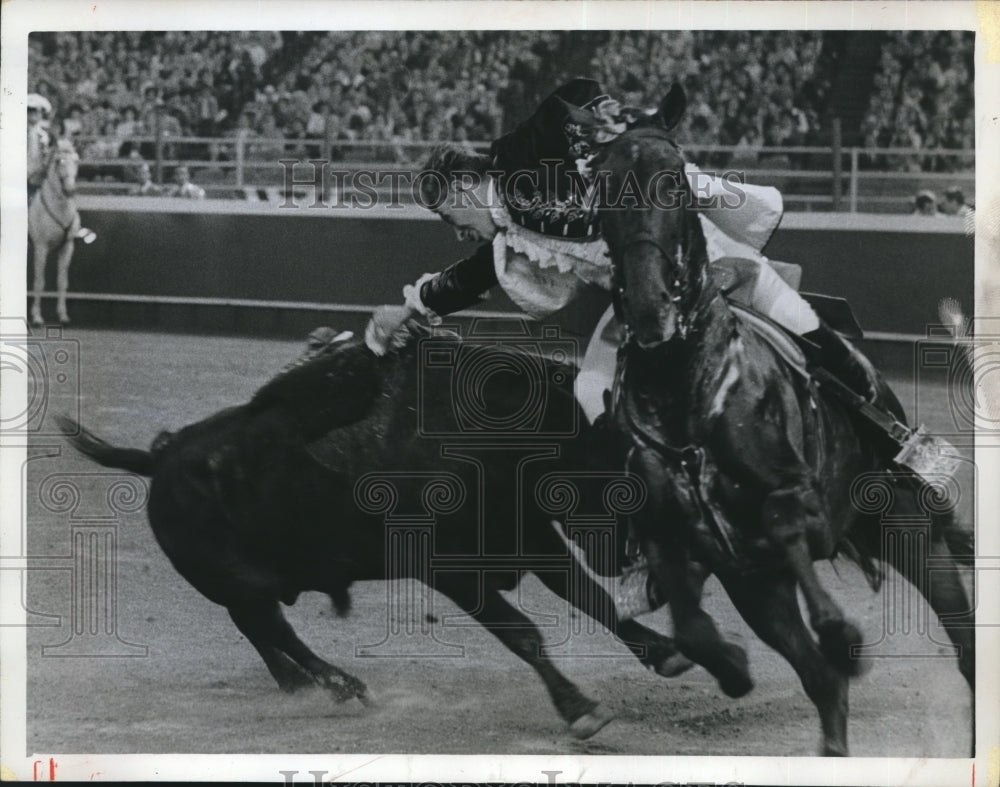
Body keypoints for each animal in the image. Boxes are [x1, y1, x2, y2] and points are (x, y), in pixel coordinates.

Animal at [28, 139, 94, 326]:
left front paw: (63, 315)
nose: (70, 190)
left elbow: (62, 282)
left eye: (77, 160)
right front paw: (37, 317)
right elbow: (39, 282)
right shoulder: (41, 248)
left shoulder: (67, 247)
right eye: (58, 161)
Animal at [58, 324, 692, 740]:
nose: (634, 560)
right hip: (237, 580)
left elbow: (592, 600)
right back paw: (339, 685)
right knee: (267, 625)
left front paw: (666, 653)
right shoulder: (450, 569)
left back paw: (302, 687)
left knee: (260, 629)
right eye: (613, 466)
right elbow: (524, 633)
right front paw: (580, 708)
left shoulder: (533, 541)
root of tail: (159, 457)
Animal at [576, 83, 972, 756]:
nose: (652, 308)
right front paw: (733, 665)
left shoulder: (795, 497)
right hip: (771, 584)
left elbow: (788, 526)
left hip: (910, 529)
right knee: (821, 682)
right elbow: (695, 626)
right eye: (603, 184)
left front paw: (841, 631)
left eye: (676, 178)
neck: (688, 385)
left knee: (965, 643)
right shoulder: (700, 551)